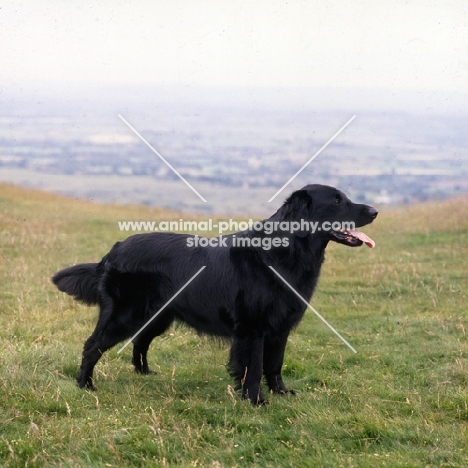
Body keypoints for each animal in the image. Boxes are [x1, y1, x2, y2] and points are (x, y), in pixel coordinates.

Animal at [54, 185, 376, 404]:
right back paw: (85, 385)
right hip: (125, 315)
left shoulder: (280, 327)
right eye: (337, 201)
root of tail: (115, 249)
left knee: (139, 341)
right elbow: (254, 367)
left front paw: (281, 393)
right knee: (92, 345)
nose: (375, 211)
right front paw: (255, 400)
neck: (285, 252)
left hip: (158, 317)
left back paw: (144, 373)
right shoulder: (253, 328)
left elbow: (275, 364)